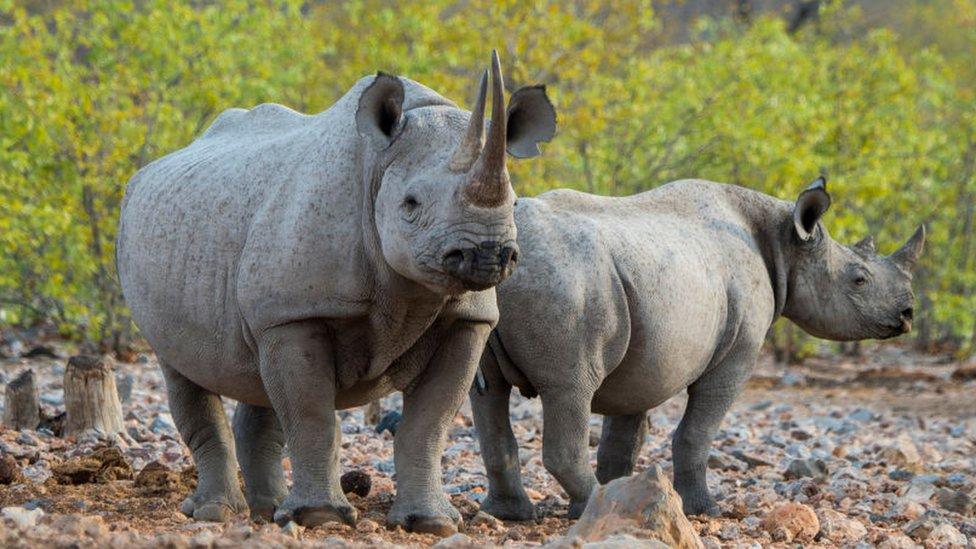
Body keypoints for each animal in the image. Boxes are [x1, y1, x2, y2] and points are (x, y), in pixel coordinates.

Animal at [115, 52, 556, 536]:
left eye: (513, 203)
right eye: (410, 204)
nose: (487, 253)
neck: (378, 166)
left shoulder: (467, 318)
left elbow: (429, 425)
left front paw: (431, 523)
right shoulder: (297, 312)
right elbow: (313, 417)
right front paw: (320, 517)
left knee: (256, 372)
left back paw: (270, 511)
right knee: (181, 368)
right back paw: (218, 513)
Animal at [470, 179, 924, 520]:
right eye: (859, 279)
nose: (907, 314)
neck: (785, 242)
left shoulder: (644, 353)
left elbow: (623, 436)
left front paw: (625, 496)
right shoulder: (736, 354)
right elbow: (698, 432)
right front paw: (704, 510)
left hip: (515, 285)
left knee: (487, 393)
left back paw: (514, 514)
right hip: (566, 284)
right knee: (569, 388)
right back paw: (588, 503)